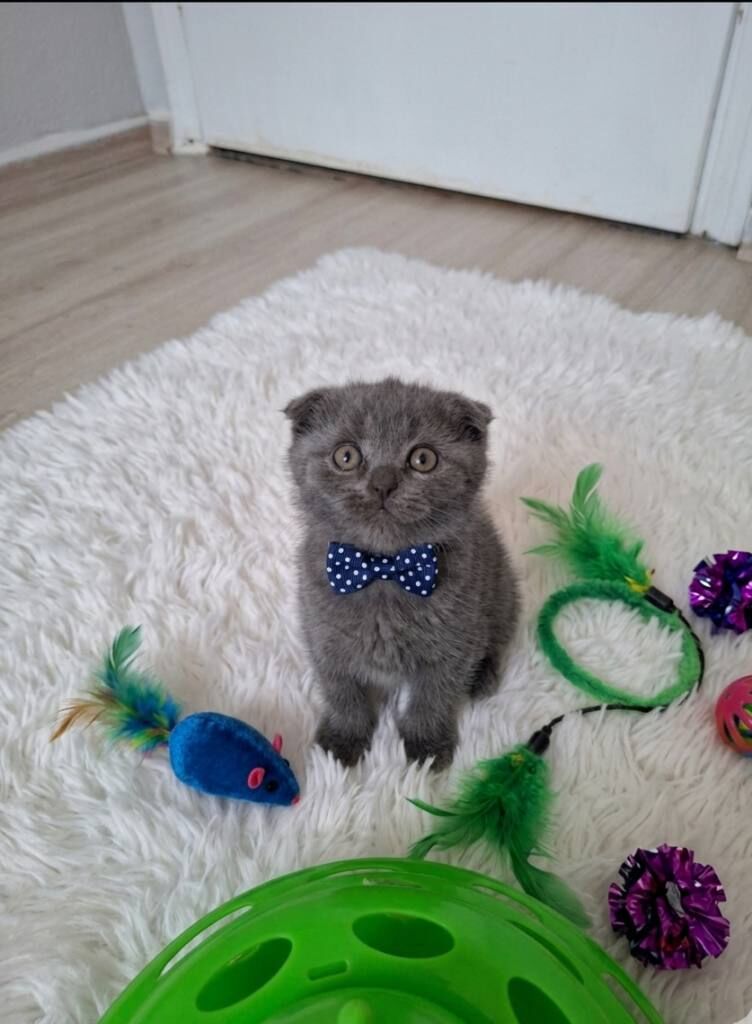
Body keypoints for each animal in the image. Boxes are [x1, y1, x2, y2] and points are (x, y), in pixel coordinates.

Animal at [285, 377, 518, 770]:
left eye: (423, 459)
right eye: (346, 456)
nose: (383, 482)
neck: (383, 571)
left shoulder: (452, 646)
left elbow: (432, 698)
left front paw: (426, 748)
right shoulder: (324, 639)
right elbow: (341, 693)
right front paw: (342, 742)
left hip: (501, 590)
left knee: (497, 637)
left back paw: (482, 677)